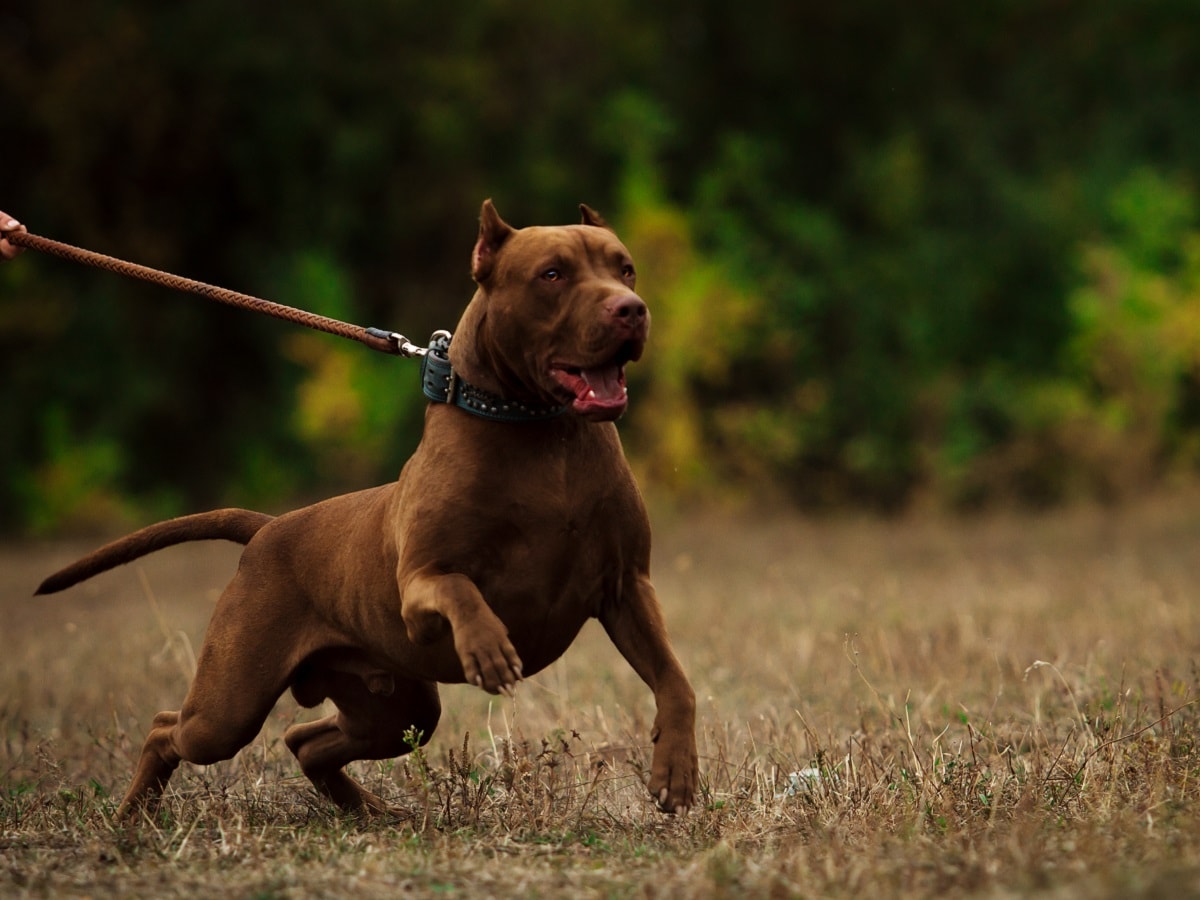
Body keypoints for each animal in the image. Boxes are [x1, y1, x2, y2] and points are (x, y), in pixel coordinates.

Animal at [37, 200, 700, 820]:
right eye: (553, 274)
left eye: (625, 269)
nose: (631, 309)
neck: (543, 431)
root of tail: (270, 527)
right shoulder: (419, 585)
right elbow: (462, 591)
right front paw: (488, 648)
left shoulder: (626, 586)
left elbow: (676, 681)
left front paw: (676, 770)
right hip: (230, 708)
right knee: (168, 729)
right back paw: (133, 817)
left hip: (398, 707)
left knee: (304, 741)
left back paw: (370, 811)